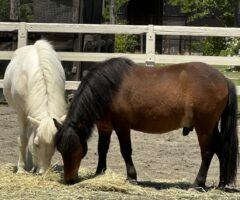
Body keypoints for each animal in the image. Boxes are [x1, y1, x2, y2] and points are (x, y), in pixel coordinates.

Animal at [3, 40, 66, 173]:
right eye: (37, 144)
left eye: (55, 145)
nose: (43, 172)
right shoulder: (21, 112)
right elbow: (23, 139)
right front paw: (21, 169)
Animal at [53, 57, 239, 188]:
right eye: (60, 150)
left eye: (75, 149)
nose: (69, 179)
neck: (109, 88)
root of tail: (224, 79)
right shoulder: (104, 127)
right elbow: (102, 149)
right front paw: (100, 172)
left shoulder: (122, 126)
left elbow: (126, 151)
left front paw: (132, 177)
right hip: (212, 127)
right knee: (221, 149)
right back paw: (222, 183)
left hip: (204, 127)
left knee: (207, 152)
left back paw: (198, 182)